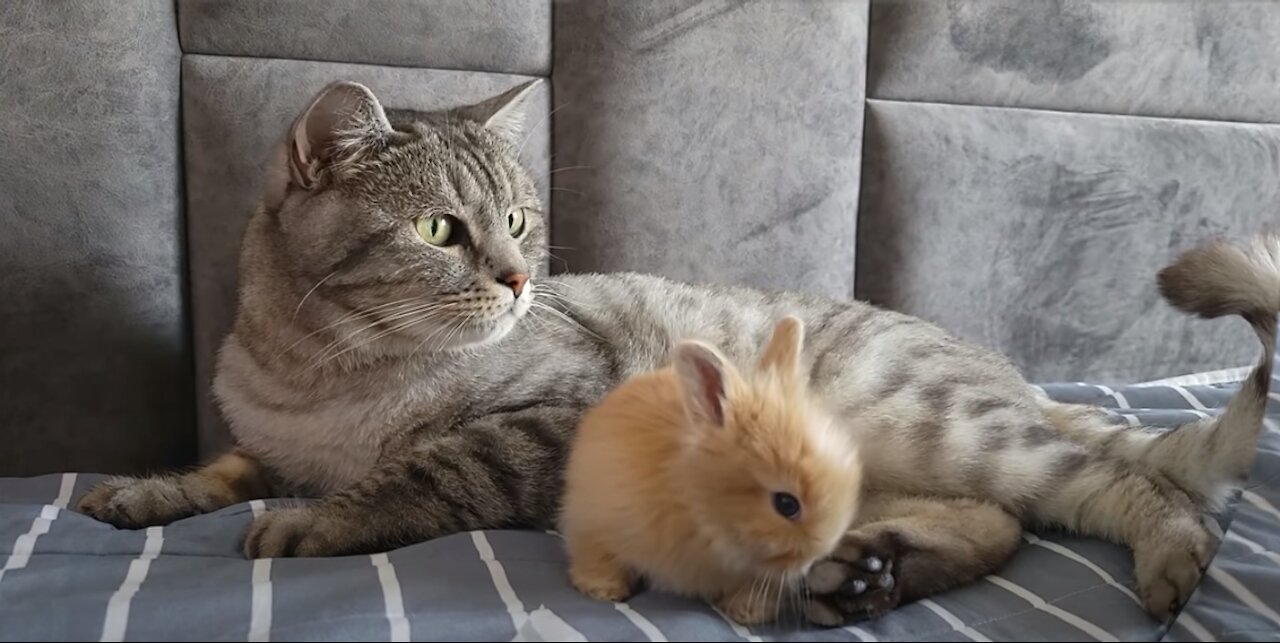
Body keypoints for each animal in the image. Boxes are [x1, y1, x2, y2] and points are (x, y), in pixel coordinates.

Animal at [558, 313, 860, 625]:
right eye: (786, 504)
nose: (816, 555)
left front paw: (747, 612)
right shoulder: (593, 524)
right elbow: (598, 557)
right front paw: (602, 590)